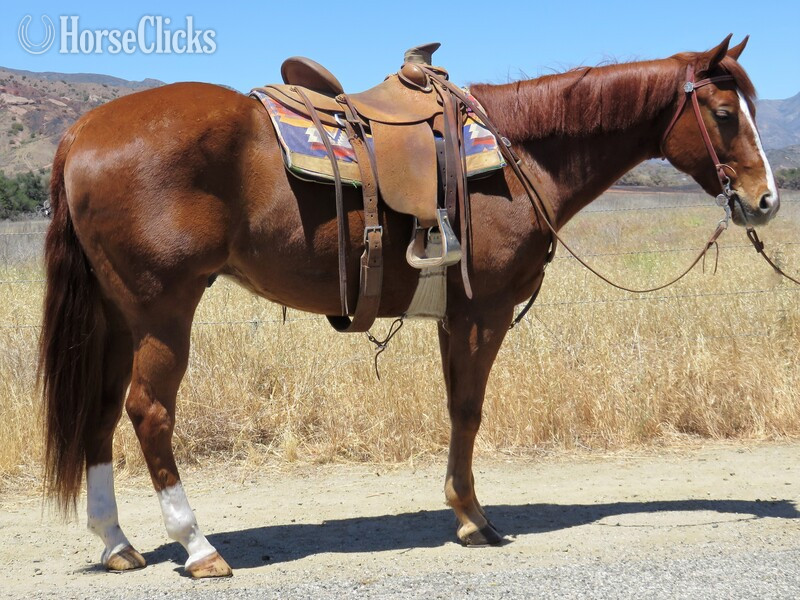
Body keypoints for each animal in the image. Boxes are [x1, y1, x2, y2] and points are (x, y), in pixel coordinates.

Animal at [39, 35, 779, 577]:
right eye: (722, 114)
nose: (766, 199)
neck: (519, 154)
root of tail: (83, 131)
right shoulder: (482, 313)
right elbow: (469, 410)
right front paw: (474, 519)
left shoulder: (456, 317)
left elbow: (457, 408)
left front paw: (463, 510)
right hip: (163, 310)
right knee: (148, 412)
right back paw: (197, 546)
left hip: (115, 315)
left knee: (100, 412)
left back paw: (117, 543)